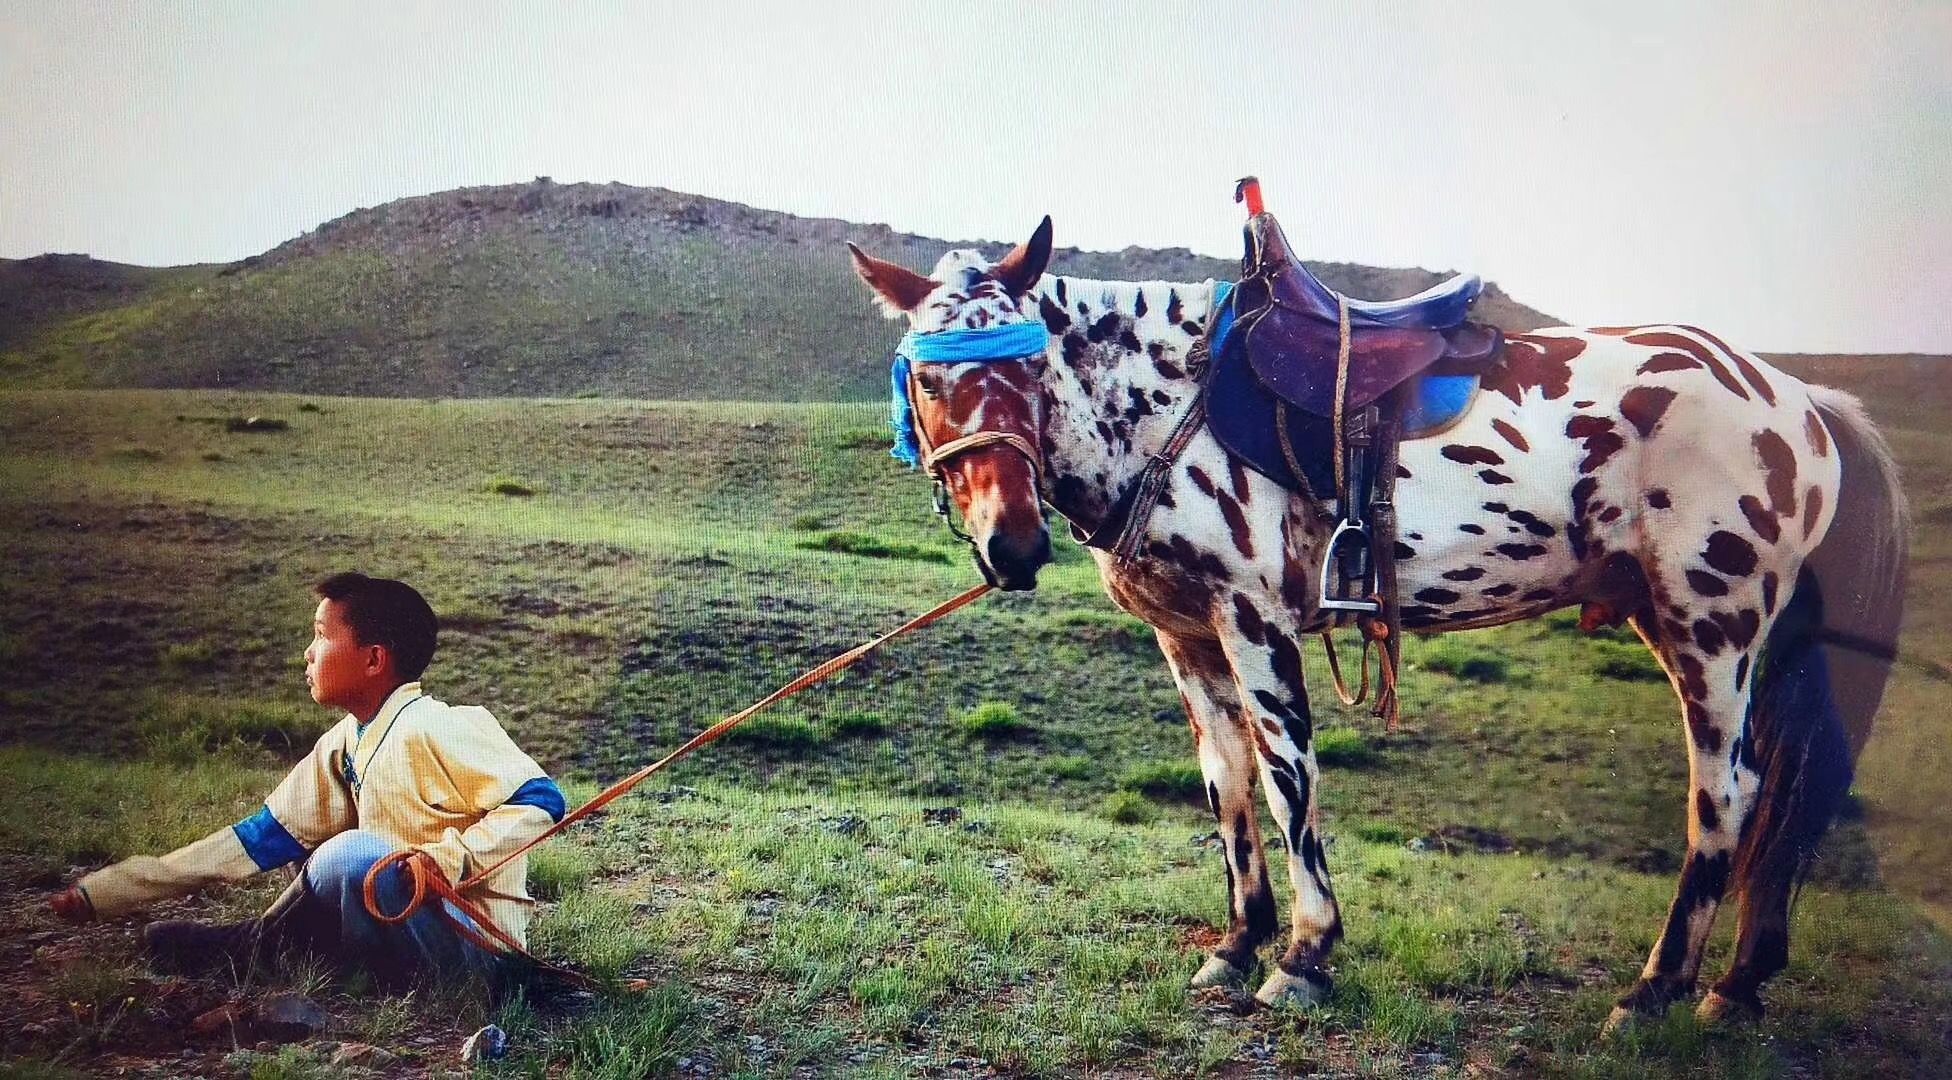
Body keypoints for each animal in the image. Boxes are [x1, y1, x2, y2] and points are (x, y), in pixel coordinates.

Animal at [843, 216, 1905, 1031]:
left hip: (1710, 627)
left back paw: (1651, 994)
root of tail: (1800, 398)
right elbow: (1227, 785)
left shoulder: (1254, 618)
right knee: (1780, 798)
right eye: (928, 380)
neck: (1167, 403)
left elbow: (1288, 781)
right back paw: (1736, 987)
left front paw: (1305, 955)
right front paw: (1237, 943)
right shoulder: (1187, 636)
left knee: (1728, 793)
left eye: (1027, 368)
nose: (1013, 546)